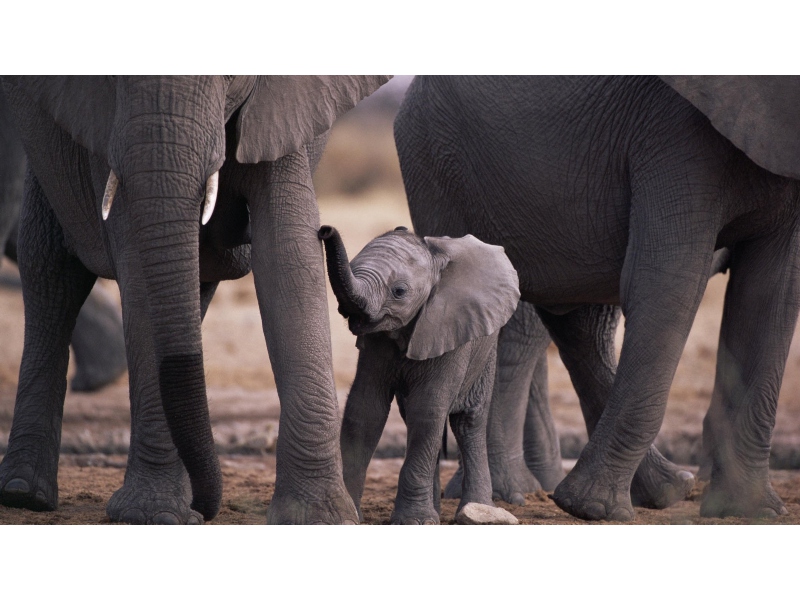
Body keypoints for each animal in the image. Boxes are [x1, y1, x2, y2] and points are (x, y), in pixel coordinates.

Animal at [322, 225, 520, 524]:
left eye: (399, 291)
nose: (324, 230)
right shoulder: (376, 343)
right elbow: (365, 410)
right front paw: (352, 515)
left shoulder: (450, 327)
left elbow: (426, 410)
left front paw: (413, 521)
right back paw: (435, 511)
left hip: (486, 350)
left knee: (468, 421)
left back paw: (476, 509)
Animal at [396, 76, 800, 520]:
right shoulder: (674, 133)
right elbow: (667, 285)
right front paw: (591, 509)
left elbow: (771, 298)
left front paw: (749, 510)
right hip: (438, 163)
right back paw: (512, 497)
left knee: (576, 320)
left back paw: (668, 489)